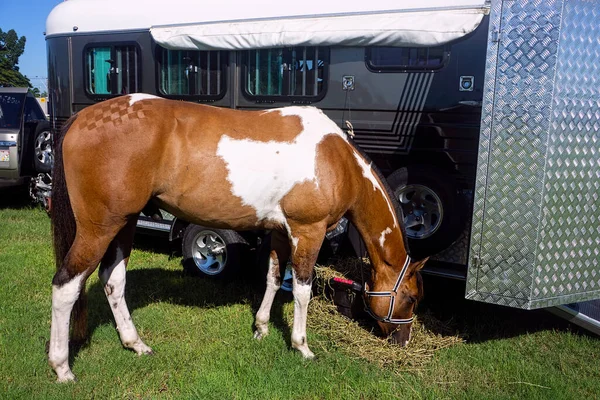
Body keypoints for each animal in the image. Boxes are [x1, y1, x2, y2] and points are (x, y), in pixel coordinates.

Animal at [50, 94, 426, 382]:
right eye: (411, 298)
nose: (404, 339)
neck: (336, 159)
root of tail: (82, 118)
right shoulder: (308, 231)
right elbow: (302, 290)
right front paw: (302, 346)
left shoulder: (279, 233)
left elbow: (273, 279)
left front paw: (261, 328)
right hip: (99, 228)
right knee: (65, 286)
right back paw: (62, 367)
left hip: (123, 224)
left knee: (113, 281)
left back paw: (135, 344)